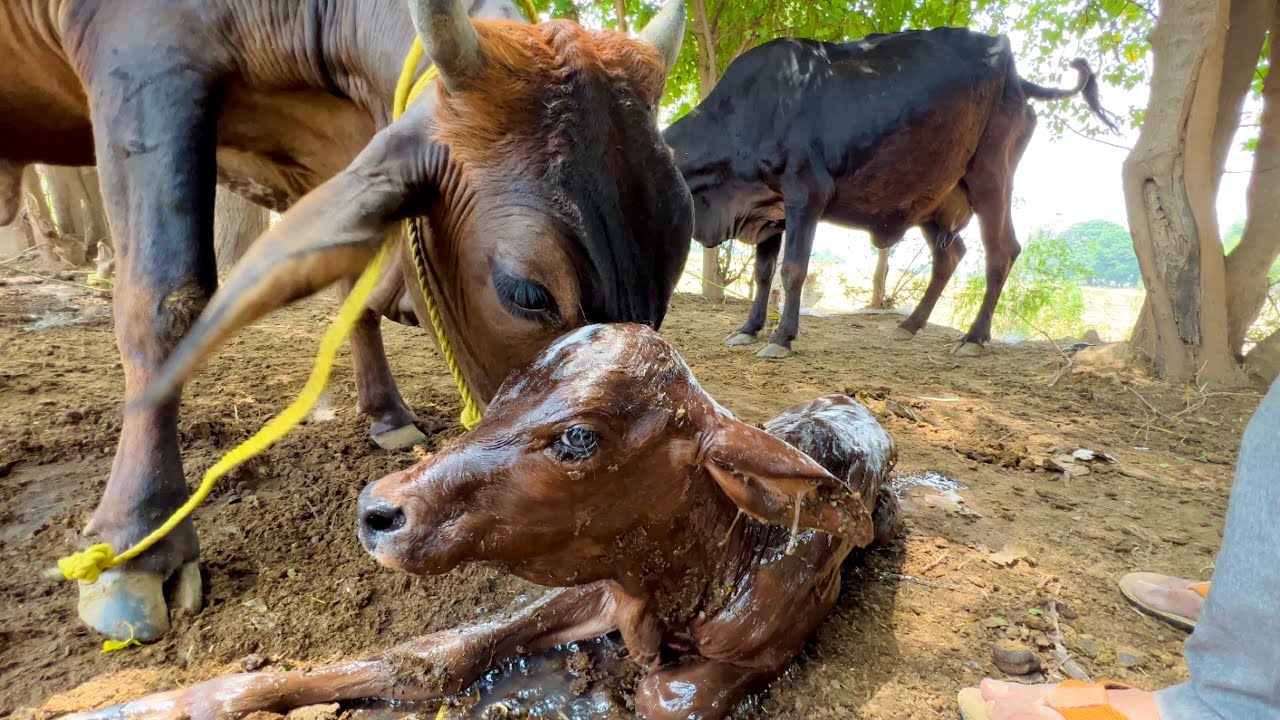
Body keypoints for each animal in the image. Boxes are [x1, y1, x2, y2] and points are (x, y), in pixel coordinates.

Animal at [1, 0, 692, 641]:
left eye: (672, 269)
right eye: (524, 292)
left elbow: (351, 295)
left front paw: (386, 415)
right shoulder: (142, 61)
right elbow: (166, 299)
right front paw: (136, 546)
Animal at [65, 323, 902, 720]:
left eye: (578, 437)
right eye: (500, 393)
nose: (378, 509)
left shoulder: (771, 645)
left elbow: (669, 696)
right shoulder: (595, 578)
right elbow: (434, 656)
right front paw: (151, 702)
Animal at [662, 29, 1119, 359]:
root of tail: (1015, 74)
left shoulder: (804, 194)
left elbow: (792, 270)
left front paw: (782, 338)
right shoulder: (769, 210)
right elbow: (762, 273)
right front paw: (748, 329)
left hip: (992, 177)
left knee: (1002, 251)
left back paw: (973, 338)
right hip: (936, 201)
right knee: (950, 256)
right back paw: (909, 325)